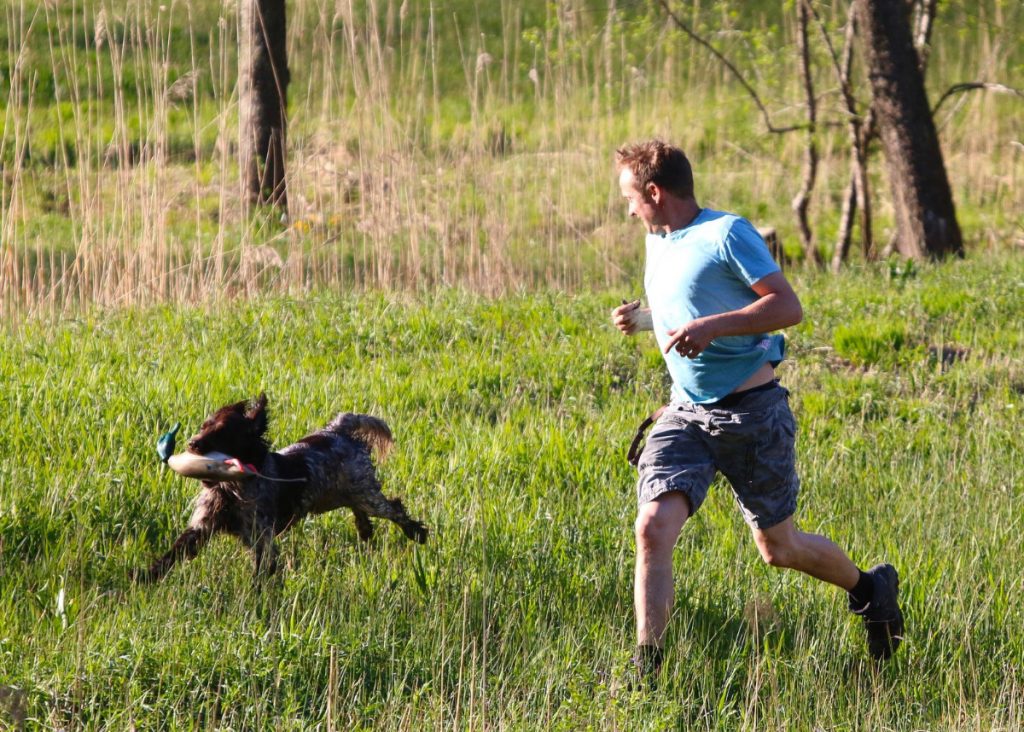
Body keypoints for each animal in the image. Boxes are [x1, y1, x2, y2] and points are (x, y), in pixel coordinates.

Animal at [138, 395, 425, 585]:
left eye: (222, 432)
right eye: (203, 426)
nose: (192, 443)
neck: (231, 486)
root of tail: (337, 430)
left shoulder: (261, 538)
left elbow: (262, 572)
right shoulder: (201, 527)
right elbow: (172, 554)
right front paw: (142, 577)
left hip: (367, 494)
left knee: (394, 508)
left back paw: (417, 532)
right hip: (341, 495)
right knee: (360, 511)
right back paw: (365, 530)